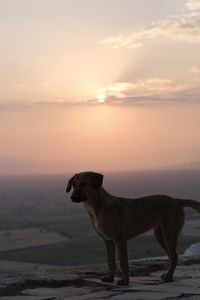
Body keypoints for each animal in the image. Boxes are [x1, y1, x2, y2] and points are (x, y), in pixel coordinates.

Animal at [66, 171, 200, 286]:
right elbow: (111, 262)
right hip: (160, 235)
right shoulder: (108, 241)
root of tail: (176, 200)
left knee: (174, 256)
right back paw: (167, 275)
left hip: (169, 233)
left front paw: (125, 281)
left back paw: (168, 277)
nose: (73, 197)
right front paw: (110, 278)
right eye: (73, 185)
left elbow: (123, 263)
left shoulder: (120, 241)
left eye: (84, 183)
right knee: (172, 256)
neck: (98, 206)